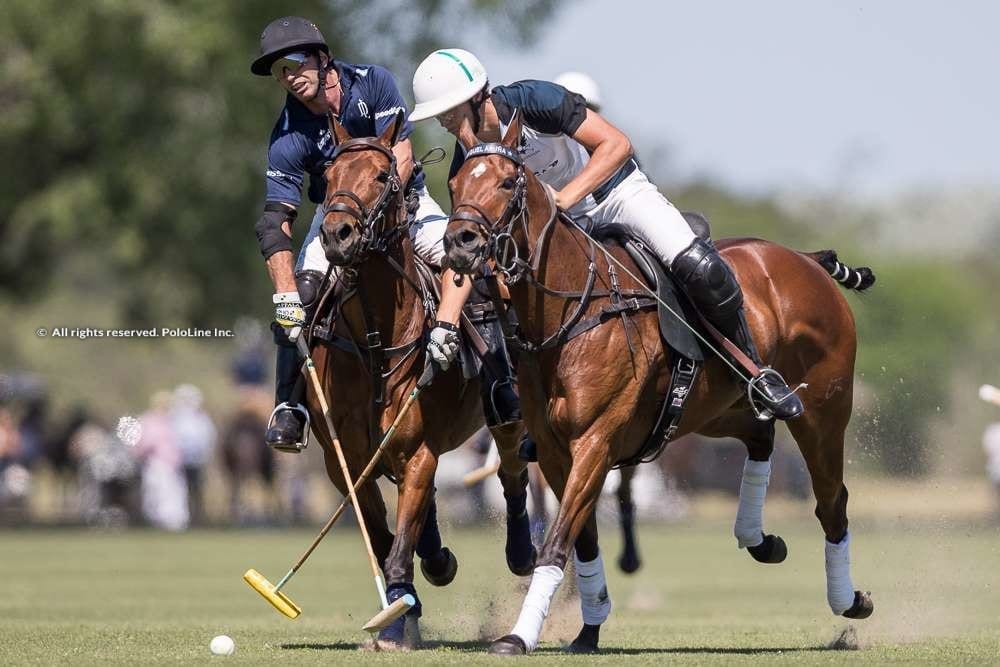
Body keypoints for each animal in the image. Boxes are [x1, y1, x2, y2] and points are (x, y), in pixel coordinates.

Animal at [304, 113, 536, 648]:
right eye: (328, 176)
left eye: (381, 176)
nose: (337, 234)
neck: (376, 340)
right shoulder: (345, 461)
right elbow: (383, 535)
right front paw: (404, 603)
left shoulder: (419, 450)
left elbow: (399, 542)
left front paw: (395, 619)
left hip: (506, 403)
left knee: (511, 467)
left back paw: (520, 552)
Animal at [444, 115, 876, 656]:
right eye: (455, 184)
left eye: (507, 182)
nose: (459, 243)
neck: (568, 314)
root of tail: (806, 258)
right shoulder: (554, 450)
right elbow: (581, 540)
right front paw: (589, 628)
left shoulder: (596, 441)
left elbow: (558, 542)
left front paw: (519, 636)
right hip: (716, 409)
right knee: (760, 438)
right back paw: (760, 539)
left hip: (823, 411)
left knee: (831, 500)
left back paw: (850, 601)